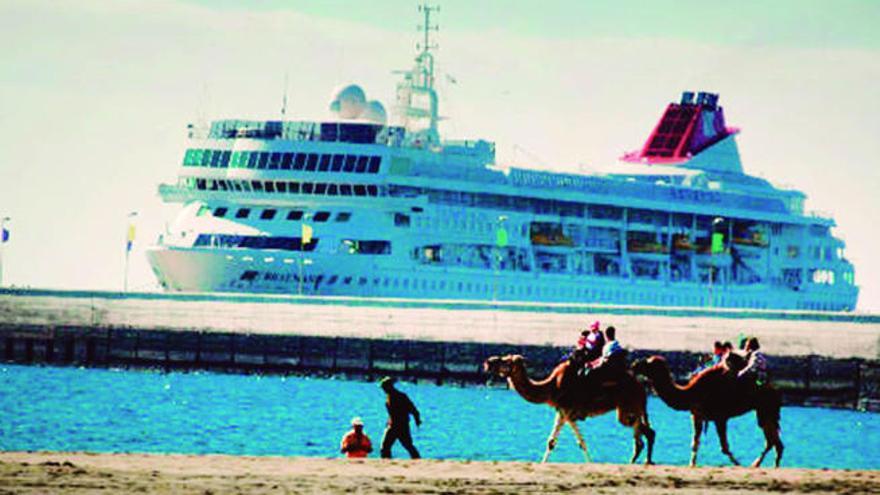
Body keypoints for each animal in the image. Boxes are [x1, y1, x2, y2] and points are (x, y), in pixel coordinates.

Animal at [482, 356, 652, 464]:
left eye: (506, 360)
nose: (488, 362)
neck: (551, 387)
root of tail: (641, 386)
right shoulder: (562, 412)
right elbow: (553, 442)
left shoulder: (568, 411)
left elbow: (579, 442)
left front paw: (591, 463)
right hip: (628, 408)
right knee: (643, 430)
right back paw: (638, 459)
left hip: (627, 408)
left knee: (643, 429)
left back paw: (641, 458)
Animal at [632, 356, 784, 468]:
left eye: (648, 363)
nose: (634, 365)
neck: (691, 392)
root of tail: (775, 390)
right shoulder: (697, 415)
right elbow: (695, 443)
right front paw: (692, 464)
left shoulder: (720, 417)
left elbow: (724, 447)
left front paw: (738, 464)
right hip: (764, 411)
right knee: (774, 441)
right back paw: (767, 465)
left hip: (766, 409)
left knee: (772, 441)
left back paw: (758, 464)